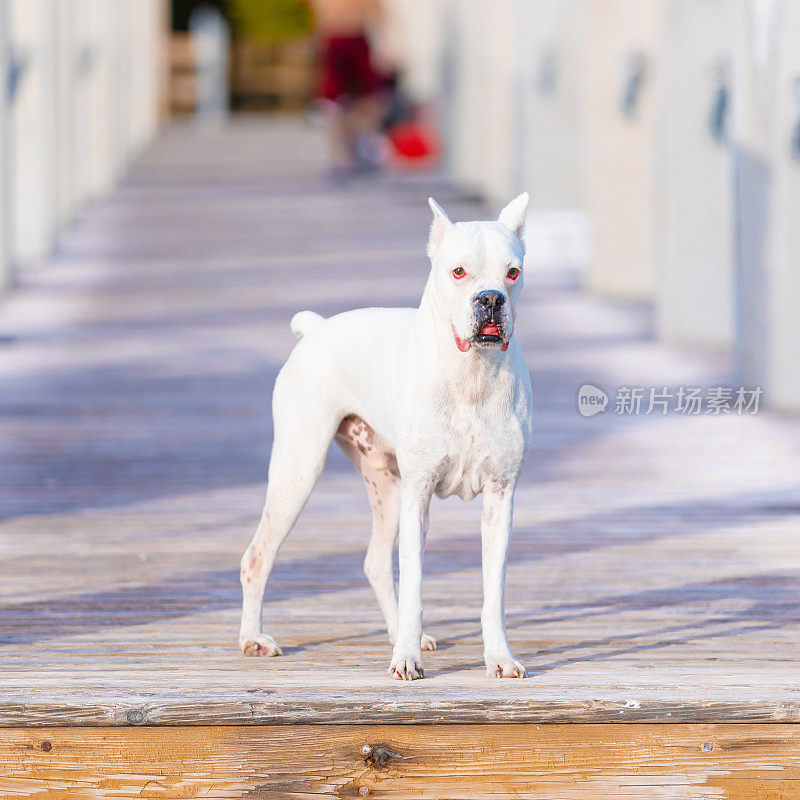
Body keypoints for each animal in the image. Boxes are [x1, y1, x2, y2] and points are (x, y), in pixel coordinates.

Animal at [241, 191, 536, 680]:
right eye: (458, 272)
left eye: (512, 273)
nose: (491, 298)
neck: (471, 375)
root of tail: (316, 328)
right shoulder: (419, 496)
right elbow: (414, 580)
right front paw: (407, 661)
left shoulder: (500, 497)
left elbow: (493, 591)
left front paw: (499, 657)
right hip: (298, 474)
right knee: (257, 556)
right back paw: (253, 638)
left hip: (388, 489)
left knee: (376, 562)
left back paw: (399, 633)